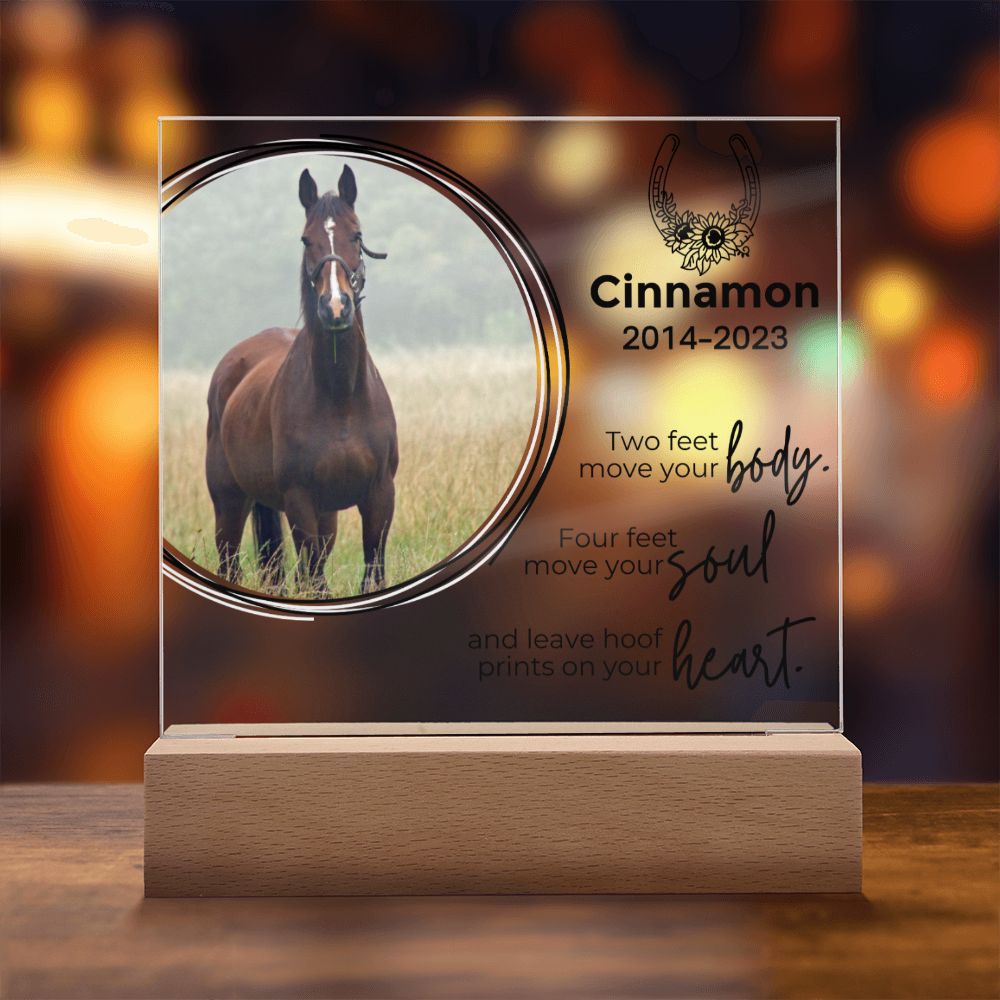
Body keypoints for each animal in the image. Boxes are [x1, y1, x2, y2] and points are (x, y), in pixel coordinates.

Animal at [205, 164, 398, 596]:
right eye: (306, 239)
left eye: (356, 234)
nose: (336, 307)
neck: (340, 399)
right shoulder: (300, 502)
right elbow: (314, 581)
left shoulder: (379, 497)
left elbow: (370, 572)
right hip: (230, 503)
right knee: (232, 564)